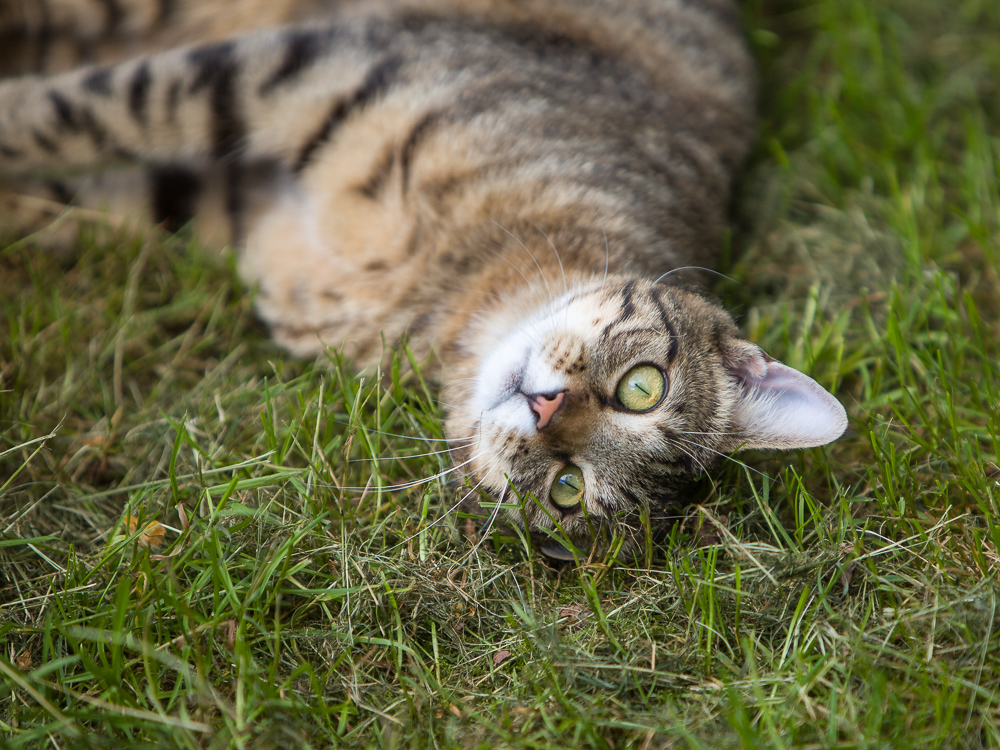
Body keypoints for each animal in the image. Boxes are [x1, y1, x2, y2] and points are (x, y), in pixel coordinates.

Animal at [0, 0, 852, 560]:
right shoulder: (293, 73)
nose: (545, 410)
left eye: (566, 489)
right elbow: (70, 112)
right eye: (643, 388)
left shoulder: (213, 195)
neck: (446, 295)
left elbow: (71, 185)